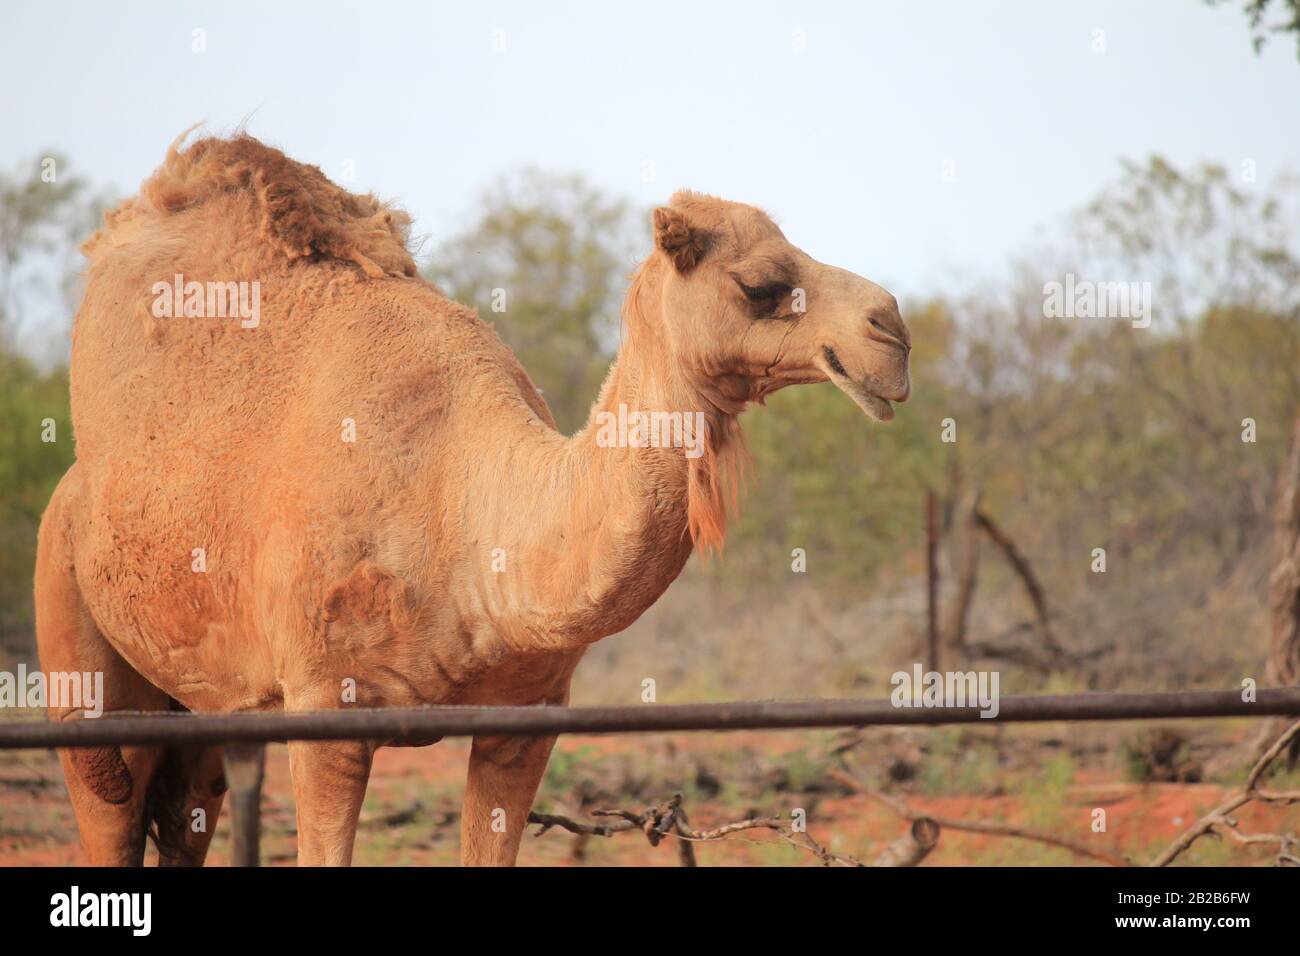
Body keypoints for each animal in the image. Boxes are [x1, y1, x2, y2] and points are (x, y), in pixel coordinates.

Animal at [35, 132, 911, 867]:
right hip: (70, 601)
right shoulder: (325, 711)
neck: (470, 526)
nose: (893, 332)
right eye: (763, 284)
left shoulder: (524, 722)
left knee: (191, 803)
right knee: (109, 796)